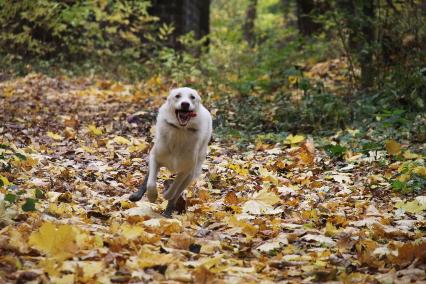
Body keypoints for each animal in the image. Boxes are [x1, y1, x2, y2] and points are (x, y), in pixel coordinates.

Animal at [128, 87, 211, 217]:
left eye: (192, 97)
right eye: (177, 96)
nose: (185, 104)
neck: (180, 131)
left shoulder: (185, 170)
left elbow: (174, 188)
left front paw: (166, 195)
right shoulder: (155, 158)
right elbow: (151, 182)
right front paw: (152, 196)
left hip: (191, 175)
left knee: (177, 193)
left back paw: (167, 212)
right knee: (148, 177)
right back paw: (137, 195)